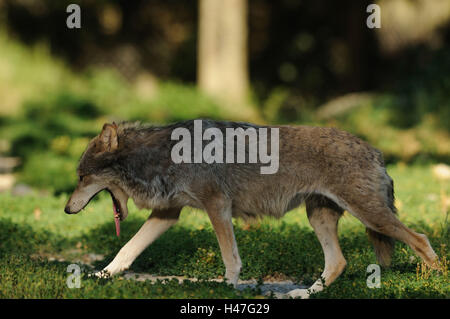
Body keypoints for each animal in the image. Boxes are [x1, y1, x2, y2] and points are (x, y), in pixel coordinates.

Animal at [64, 120, 440, 300]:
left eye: (82, 177)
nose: (67, 209)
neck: (161, 155)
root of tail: (376, 151)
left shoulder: (217, 206)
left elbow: (230, 258)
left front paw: (225, 289)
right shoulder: (168, 215)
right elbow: (126, 250)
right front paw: (100, 277)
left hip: (371, 216)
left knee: (422, 240)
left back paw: (434, 283)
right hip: (319, 218)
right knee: (338, 263)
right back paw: (304, 294)